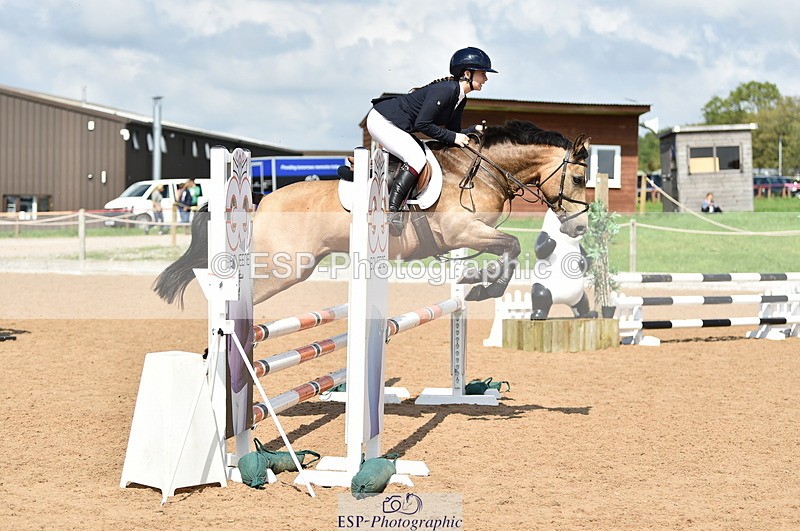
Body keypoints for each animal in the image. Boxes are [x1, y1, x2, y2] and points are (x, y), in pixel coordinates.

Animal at [154, 120, 590, 307]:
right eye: (580, 177)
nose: (581, 227)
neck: (479, 170)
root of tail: (260, 202)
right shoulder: (461, 230)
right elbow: (512, 246)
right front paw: (483, 286)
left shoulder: (470, 234)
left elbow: (508, 251)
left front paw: (474, 281)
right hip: (285, 267)